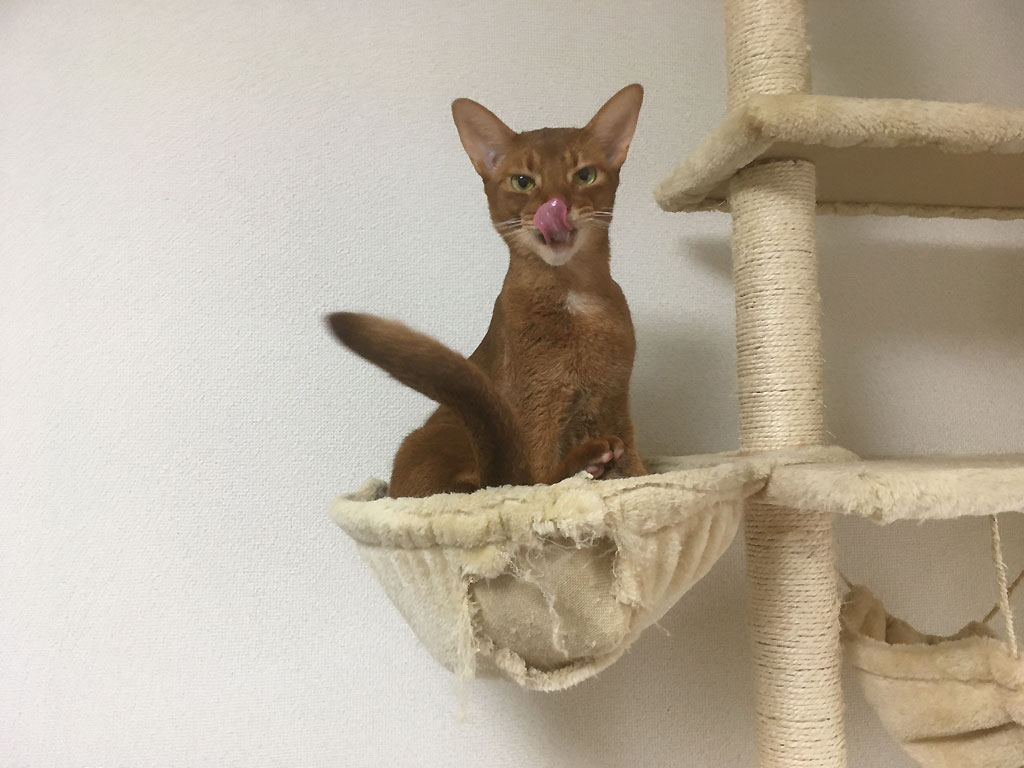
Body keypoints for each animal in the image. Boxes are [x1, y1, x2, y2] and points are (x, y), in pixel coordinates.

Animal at [328, 84, 647, 498]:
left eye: (585, 175)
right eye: (523, 181)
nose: (555, 206)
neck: (574, 293)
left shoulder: (615, 398)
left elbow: (639, 470)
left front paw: (639, 477)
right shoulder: (537, 406)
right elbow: (538, 478)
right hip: (436, 436)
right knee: (527, 481)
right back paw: (591, 458)